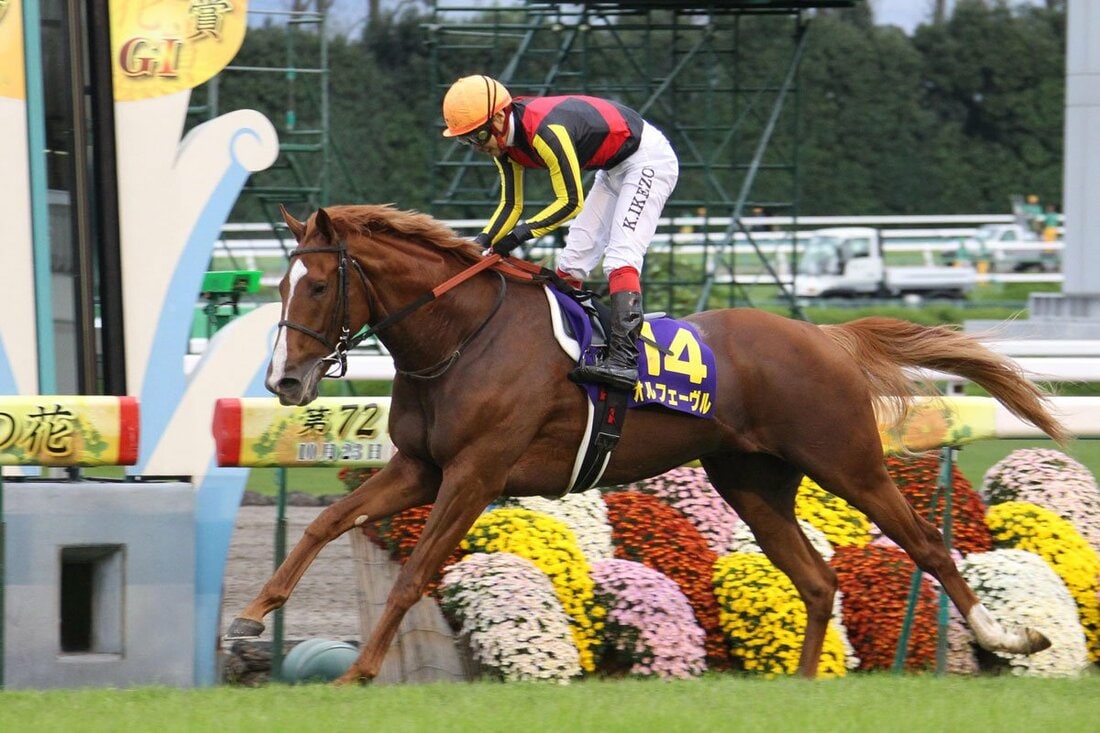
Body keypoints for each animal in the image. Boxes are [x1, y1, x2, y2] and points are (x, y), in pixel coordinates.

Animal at [226, 203, 1067, 684]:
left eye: (319, 285)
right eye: (280, 284)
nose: (284, 381)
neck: (464, 334)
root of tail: (825, 337)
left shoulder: (475, 472)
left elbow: (412, 574)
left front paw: (360, 671)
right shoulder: (422, 465)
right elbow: (327, 521)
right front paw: (250, 616)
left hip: (847, 460)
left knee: (925, 543)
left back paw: (1007, 637)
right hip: (752, 481)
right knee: (818, 579)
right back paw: (800, 685)